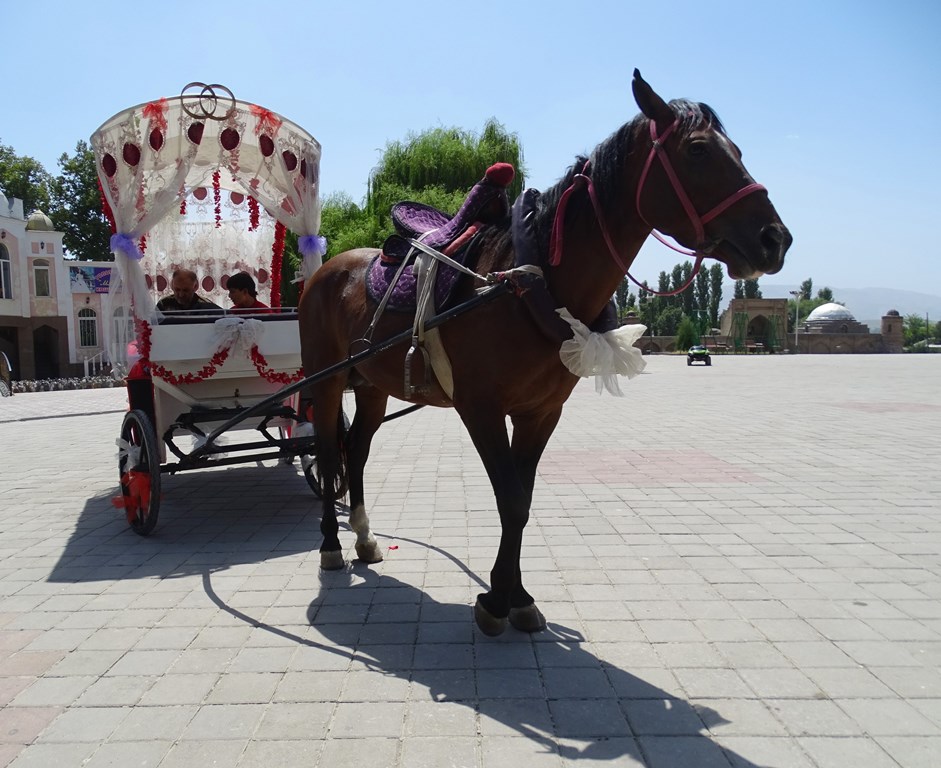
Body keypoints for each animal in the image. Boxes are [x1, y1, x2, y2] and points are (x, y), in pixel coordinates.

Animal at [298, 70, 788, 636]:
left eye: (737, 150)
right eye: (699, 150)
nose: (775, 238)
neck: (525, 282)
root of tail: (328, 269)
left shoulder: (541, 412)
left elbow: (524, 500)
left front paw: (517, 595)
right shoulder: (481, 409)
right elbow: (510, 500)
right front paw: (496, 600)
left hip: (372, 386)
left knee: (356, 451)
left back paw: (363, 536)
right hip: (325, 382)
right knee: (328, 452)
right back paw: (330, 546)